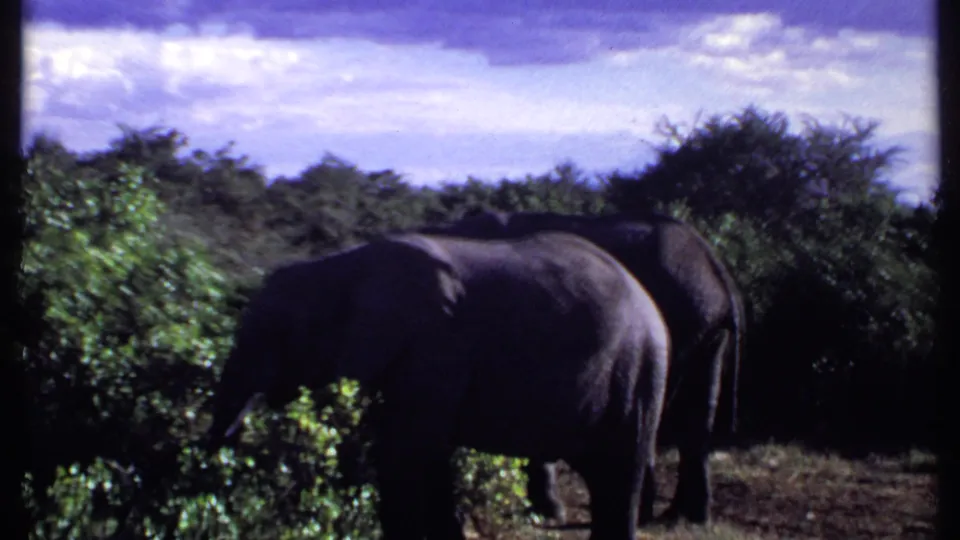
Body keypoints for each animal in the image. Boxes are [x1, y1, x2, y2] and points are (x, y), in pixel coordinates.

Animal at [206, 231, 671, 540]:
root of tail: (648, 300)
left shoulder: (435, 348)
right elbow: (422, 455)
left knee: (619, 470)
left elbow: (408, 452)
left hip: (639, 370)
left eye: (275, 334)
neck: (340, 268)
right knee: (602, 474)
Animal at [415, 209, 745, 525]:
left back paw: (657, 515)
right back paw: (684, 518)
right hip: (707, 330)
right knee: (695, 417)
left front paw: (548, 512)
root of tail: (718, 271)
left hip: (685, 318)